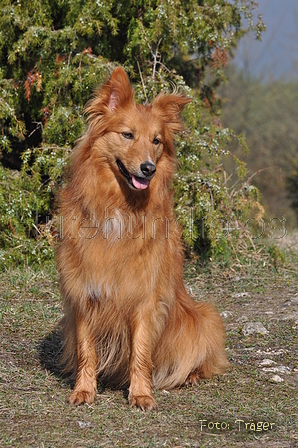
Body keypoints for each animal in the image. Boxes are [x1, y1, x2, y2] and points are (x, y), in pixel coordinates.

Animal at [57, 66, 227, 410]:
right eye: (127, 135)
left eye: (156, 141)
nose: (148, 168)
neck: (119, 207)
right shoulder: (83, 291)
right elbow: (86, 350)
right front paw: (84, 390)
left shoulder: (146, 298)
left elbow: (141, 352)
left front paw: (140, 394)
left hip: (203, 318)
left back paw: (188, 375)